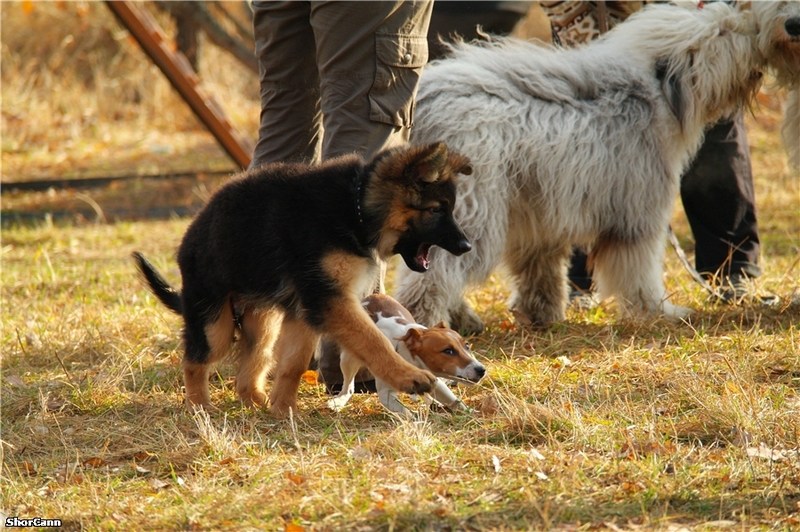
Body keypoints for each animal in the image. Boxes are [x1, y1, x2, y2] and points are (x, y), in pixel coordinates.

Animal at [326, 296, 488, 416]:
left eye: (467, 346)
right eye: (448, 351)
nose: (481, 370)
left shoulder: (434, 380)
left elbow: (454, 400)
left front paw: (473, 414)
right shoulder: (386, 394)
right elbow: (406, 412)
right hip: (348, 359)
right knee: (348, 386)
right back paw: (339, 401)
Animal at [396, 2, 764, 330]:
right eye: (722, 32)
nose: (754, 32)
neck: (651, 94)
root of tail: (422, 104)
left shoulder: (538, 215)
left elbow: (538, 267)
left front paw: (542, 314)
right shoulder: (636, 212)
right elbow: (639, 267)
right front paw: (658, 310)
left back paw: (463, 319)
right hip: (472, 211)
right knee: (433, 272)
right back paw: (425, 319)